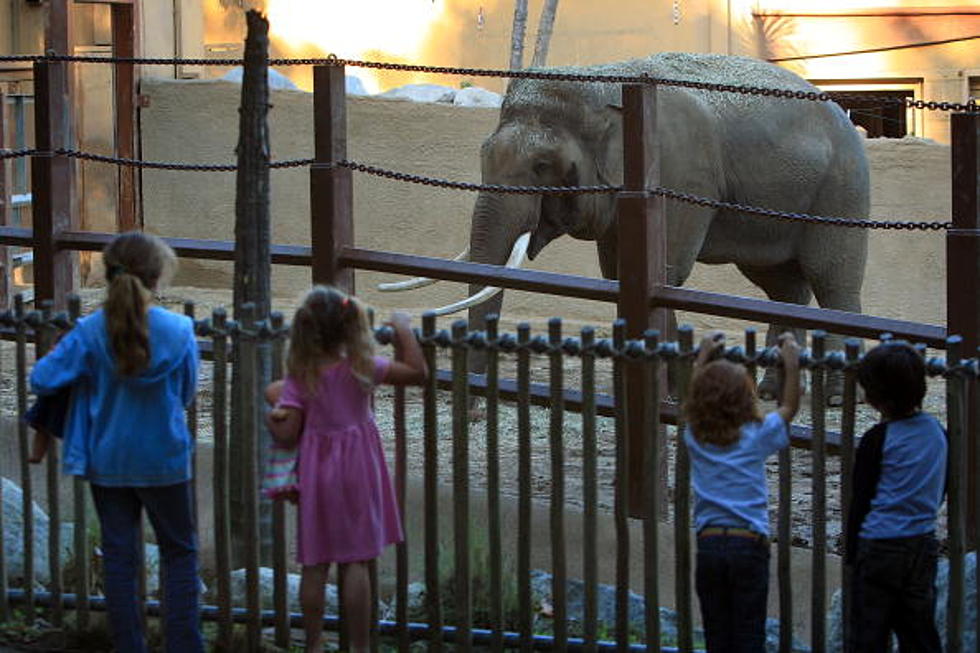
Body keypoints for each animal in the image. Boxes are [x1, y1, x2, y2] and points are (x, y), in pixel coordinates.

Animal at [378, 53, 868, 402]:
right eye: (482, 154)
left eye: (542, 166)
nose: (478, 405)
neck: (606, 79)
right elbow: (617, 274)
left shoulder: (677, 174)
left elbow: (665, 275)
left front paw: (667, 396)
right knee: (783, 287)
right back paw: (769, 391)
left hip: (841, 191)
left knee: (832, 281)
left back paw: (834, 397)